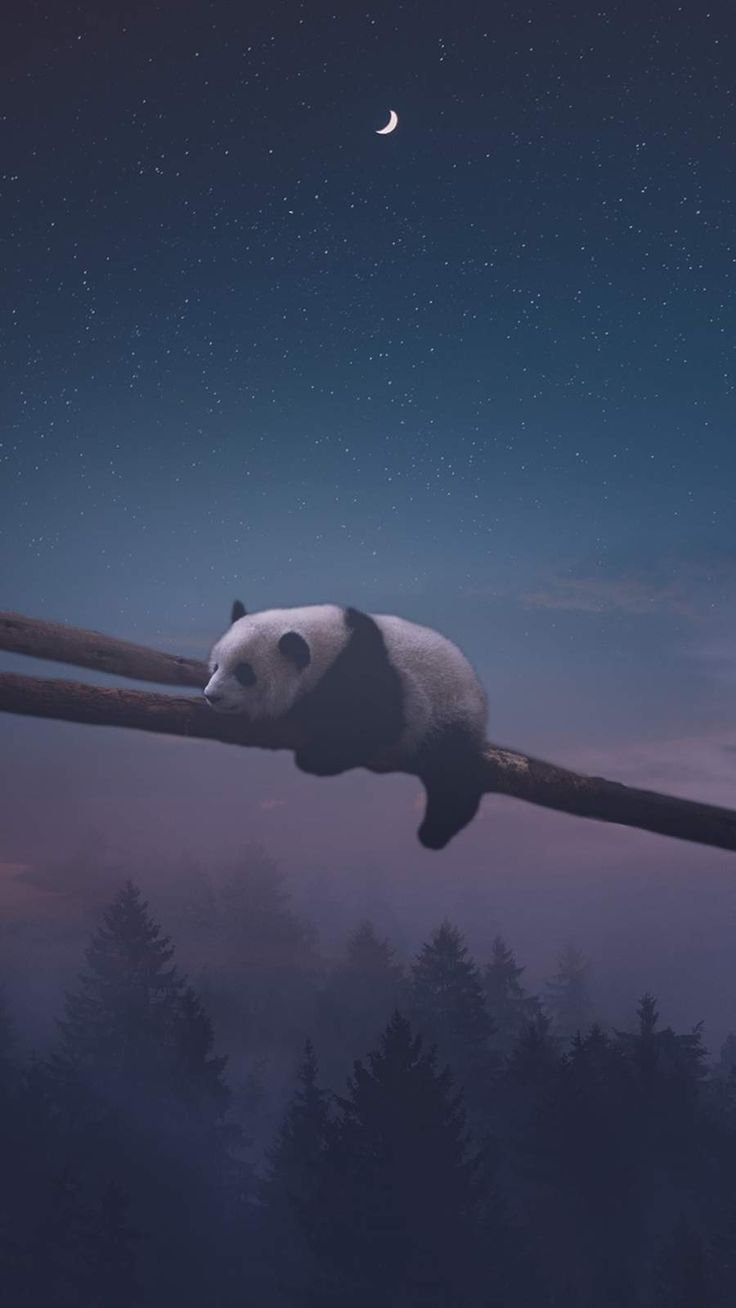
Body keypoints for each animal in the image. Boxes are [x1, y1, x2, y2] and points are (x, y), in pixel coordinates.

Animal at [203, 600, 488, 850]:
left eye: (244, 672)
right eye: (216, 666)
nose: (211, 695)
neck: (326, 646)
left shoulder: (367, 671)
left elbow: (378, 723)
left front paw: (315, 756)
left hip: (448, 712)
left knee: (452, 774)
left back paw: (435, 831)